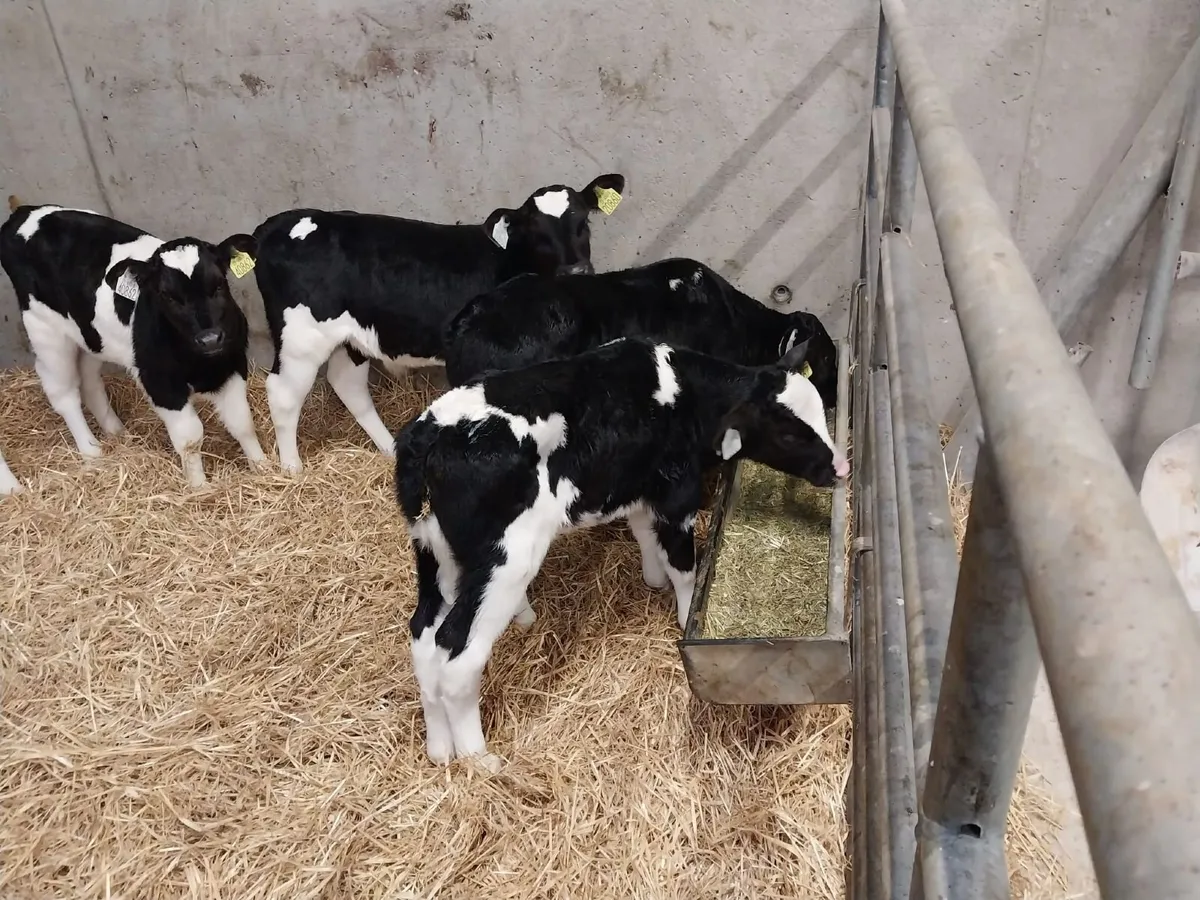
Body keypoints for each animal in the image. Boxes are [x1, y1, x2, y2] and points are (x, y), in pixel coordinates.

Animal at [0, 200, 266, 487]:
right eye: (166, 295)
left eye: (219, 284)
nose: (209, 338)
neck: (201, 364)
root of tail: (24, 212)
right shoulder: (160, 383)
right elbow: (190, 439)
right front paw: (199, 487)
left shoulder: (233, 363)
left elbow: (242, 423)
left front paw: (263, 467)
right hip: (45, 329)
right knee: (63, 392)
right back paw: (92, 452)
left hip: (91, 337)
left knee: (89, 382)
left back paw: (118, 433)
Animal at [250, 173, 627, 474]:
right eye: (536, 232)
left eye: (584, 221)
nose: (577, 270)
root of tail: (275, 225)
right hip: (301, 337)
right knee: (283, 393)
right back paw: (292, 469)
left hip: (351, 338)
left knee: (347, 384)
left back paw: (389, 449)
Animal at [394, 335, 848, 769]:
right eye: (789, 433)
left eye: (820, 413)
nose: (840, 468)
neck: (684, 396)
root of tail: (427, 435)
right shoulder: (677, 493)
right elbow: (684, 566)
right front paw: (683, 612)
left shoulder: (640, 489)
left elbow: (645, 535)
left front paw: (653, 579)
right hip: (505, 560)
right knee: (455, 650)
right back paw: (479, 759)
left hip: (435, 550)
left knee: (424, 633)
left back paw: (440, 748)